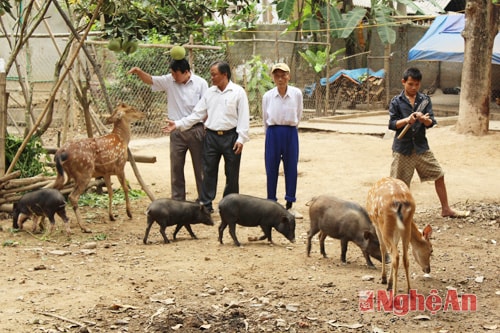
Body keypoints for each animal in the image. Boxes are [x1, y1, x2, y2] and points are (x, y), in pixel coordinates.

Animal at [52, 102, 145, 232]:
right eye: (131, 109)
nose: (143, 114)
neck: (122, 139)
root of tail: (60, 153)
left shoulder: (106, 172)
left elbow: (110, 192)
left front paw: (111, 216)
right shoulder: (120, 166)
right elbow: (125, 188)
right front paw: (129, 213)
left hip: (62, 174)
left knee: (52, 189)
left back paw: (42, 225)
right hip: (84, 172)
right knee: (72, 197)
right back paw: (84, 227)